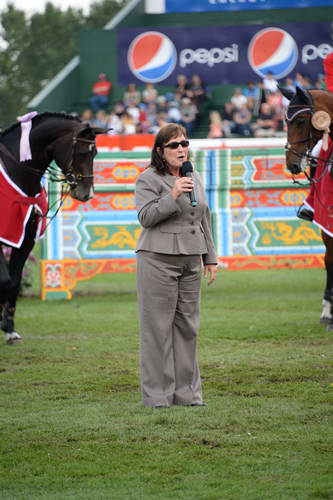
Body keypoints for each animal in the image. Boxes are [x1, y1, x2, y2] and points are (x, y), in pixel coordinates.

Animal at [0, 111, 105, 342]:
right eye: (82, 152)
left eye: (95, 153)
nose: (87, 194)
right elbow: (4, 280)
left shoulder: (26, 240)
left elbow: (14, 282)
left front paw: (8, 327)